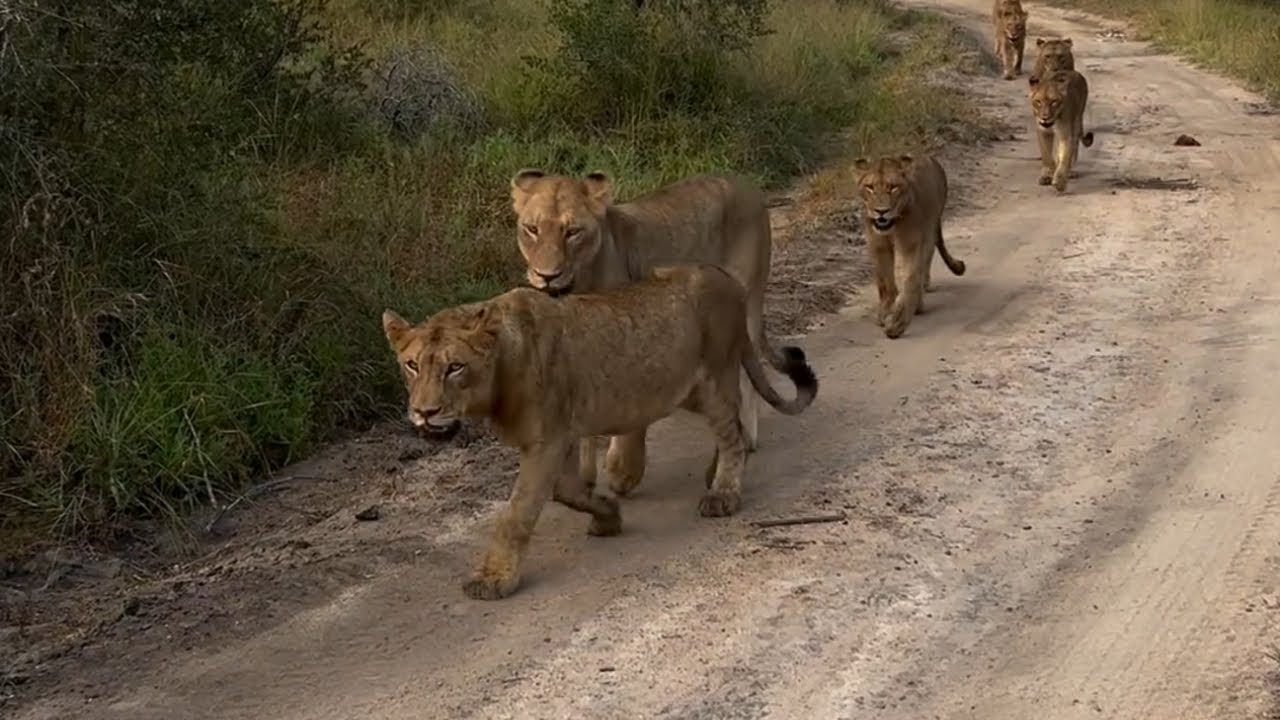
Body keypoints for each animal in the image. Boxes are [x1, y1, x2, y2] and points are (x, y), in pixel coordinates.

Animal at [382, 263, 818, 600]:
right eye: (412, 365)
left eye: (454, 367)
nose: (424, 412)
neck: (499, 369)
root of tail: (727, 278)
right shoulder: (562, 437)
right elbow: (568, 492)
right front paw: (608, 515)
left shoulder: (546, 442)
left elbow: (517, 514)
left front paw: (493, 579)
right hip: (686, 391)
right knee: (736, 427)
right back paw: (715, 476)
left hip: (712, 378)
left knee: (731, 432)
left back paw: (723, 493)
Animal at [509, 169, 782, 501]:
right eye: (531, 229)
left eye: (572, 232)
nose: (546, 275)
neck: (581, 282)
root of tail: (746, 185)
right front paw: (584, 479)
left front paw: (623, 472)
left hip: (746, 299)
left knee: (748, 367)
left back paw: (747, 437)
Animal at [854, 154, 967, 339]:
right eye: (869, 187)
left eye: (893, 187)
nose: (881, 211)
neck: (893, 225)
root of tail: (931, 159)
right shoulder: (878, 244)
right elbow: (885, 283)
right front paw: (885, 313)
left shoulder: (911, 243)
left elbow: (911, 280)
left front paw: (898, 324)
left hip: (929, 229)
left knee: (925, 262)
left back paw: (919, 303)